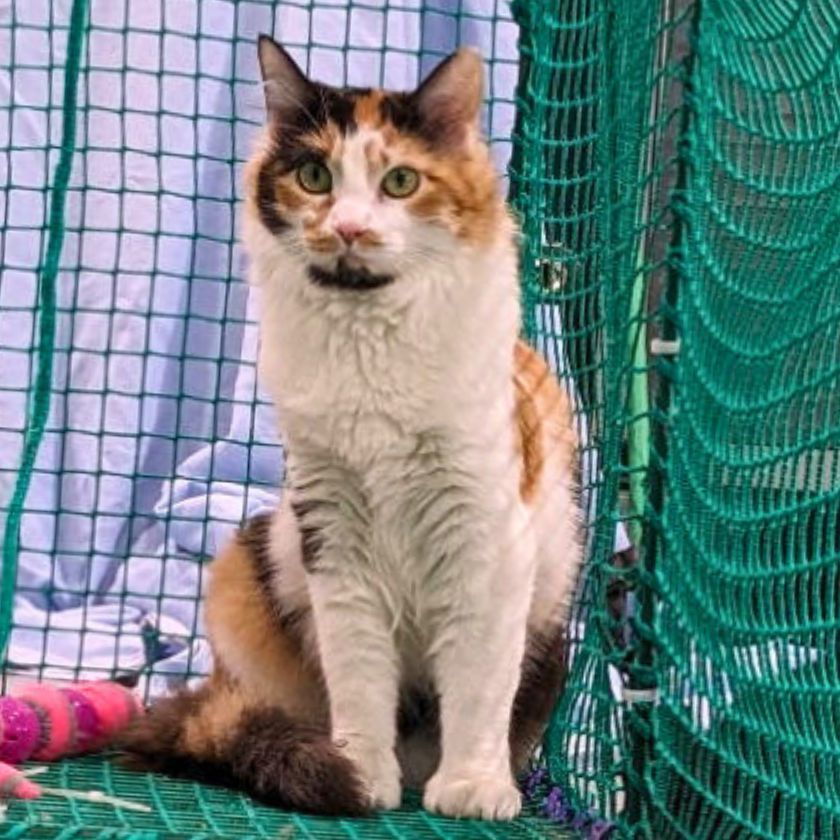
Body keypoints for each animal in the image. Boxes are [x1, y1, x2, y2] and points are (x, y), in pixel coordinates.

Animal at [120, 34, 584, 820]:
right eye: (314, 176)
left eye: (400, 182)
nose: (348, 228)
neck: (369, 347)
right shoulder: (334, 533)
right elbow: (360, 674)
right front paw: (361, 773)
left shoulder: (484, 537)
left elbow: (479, 684)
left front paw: (473, 784)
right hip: (246, 563)